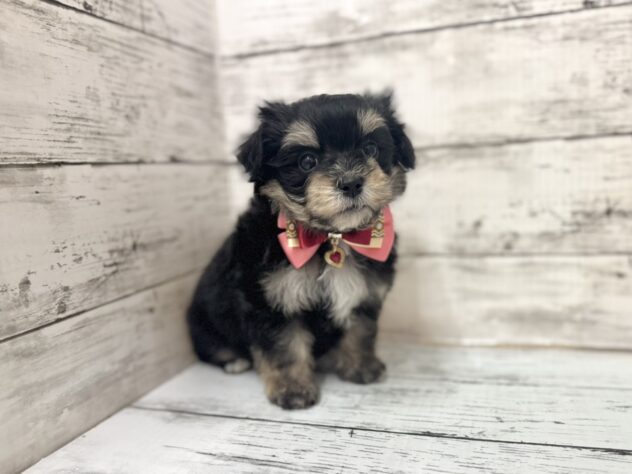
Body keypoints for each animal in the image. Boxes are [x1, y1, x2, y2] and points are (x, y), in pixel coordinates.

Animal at [187, 92, 415, 409]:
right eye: (307, 161)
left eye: (370, 148)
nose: (351, 182)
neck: (330, 238)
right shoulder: (271, 300)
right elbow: (284, 347)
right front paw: (293, 389)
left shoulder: (365, 293)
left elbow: (360, 330)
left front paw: (361, 367)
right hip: (204, 320)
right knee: (213, 347)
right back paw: (234, 361)